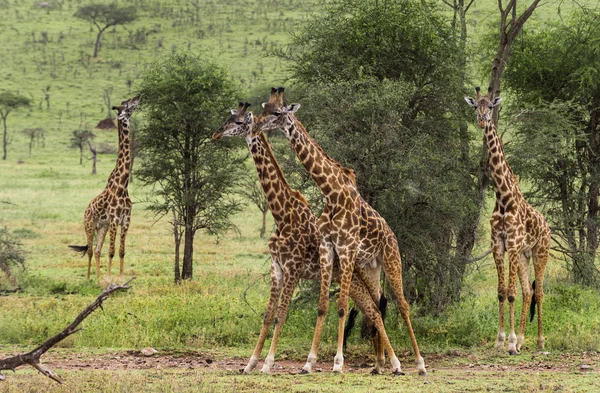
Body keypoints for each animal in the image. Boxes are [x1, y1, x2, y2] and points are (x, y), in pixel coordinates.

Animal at [69, 94, 140, 278]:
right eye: (127, 104)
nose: (139, 96)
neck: (122, 185)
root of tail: (86, 209)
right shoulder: (114, 220)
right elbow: (112, 252)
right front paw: (110, 278)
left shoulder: (126, 220)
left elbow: (121, 252)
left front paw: (120, 278)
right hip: (89, 225)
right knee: (90, 251)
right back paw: (89, 279)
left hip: (102, 227)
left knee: (97, 250)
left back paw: (98, 278)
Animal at [212, 98, 390, 374]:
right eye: (228, 118)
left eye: (239, 121)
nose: (216, 134)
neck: (281, 214)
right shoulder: (277, 267)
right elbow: (267, 316)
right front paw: (250, 363)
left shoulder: (293, 269)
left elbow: (281, 315)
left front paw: (268, 363)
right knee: (373, 309)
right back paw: (380, 363)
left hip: (355, 278)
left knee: (375, 308)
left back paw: (384, 362)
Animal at [253, 87, 426, 376]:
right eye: (263, 107)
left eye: (277, 113)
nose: (255, 125)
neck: (330, 192)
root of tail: (392, 234)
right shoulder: (327, 247)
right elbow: (323, 305)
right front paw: (309, 363)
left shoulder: (346, 247)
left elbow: (343, 307)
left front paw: (337, 362)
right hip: (370, 268)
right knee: (378, 304)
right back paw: (382, 364)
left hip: (391, 260)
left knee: (402, 305)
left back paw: (419, 364)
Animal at [464, 87, 552, 354]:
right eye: (475, 106)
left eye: (491, 106)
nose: (482, 120)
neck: (503, 198)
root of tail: (547, 225)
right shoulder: (498, 245)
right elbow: (502, 292)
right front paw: (501, 340)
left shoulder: (511, 244)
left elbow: (511, 293)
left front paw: (510, 343)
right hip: (524, 256)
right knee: (527, 291)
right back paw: (523, 340)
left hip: (540, 253)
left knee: (539, 292)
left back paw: (539, 342)